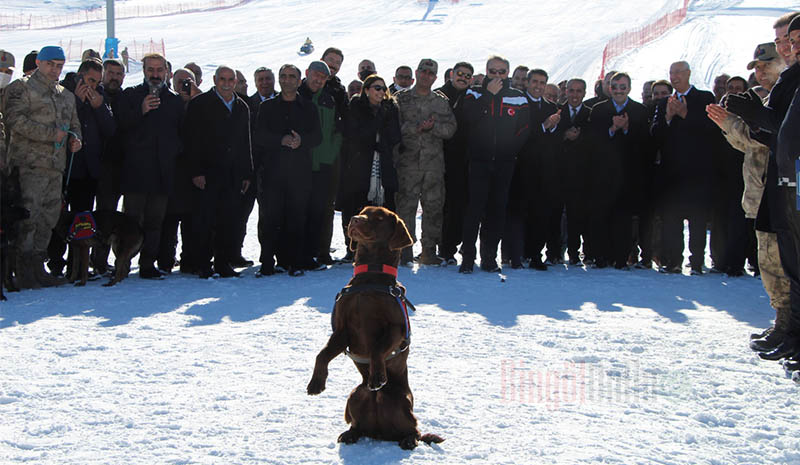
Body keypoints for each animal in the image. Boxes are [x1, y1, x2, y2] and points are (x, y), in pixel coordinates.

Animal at [306, 205, 444, 448]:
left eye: (379, 217)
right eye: (362, 211)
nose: (353, 219)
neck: (370, 276)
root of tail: (381, 434)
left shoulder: (396, 328)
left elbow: (377, 349)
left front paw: (377, 376)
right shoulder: (342, 331)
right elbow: (322, 354)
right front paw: (316, 383)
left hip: (402, 402)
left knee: (415, 430)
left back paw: (408, 439)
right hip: (355, 395)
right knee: (357, 424)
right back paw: (349, 434)